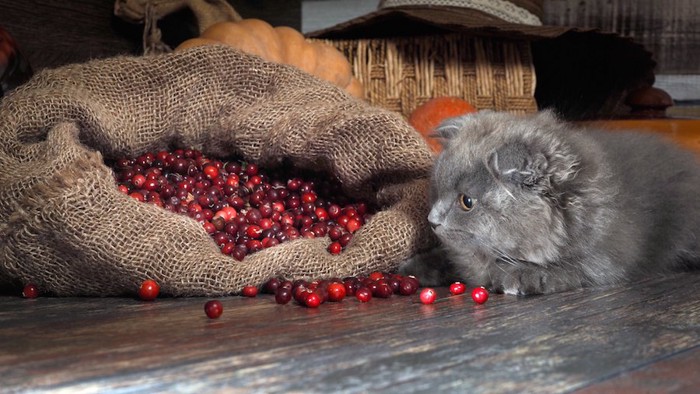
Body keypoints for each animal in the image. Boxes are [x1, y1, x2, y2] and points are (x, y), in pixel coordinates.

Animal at [400, 109, 700, 294]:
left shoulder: (609, 255)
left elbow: (573, 267)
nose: (432, 220)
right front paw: (415, 268)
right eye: (437, 190)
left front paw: (519, 275)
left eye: (467, 201)